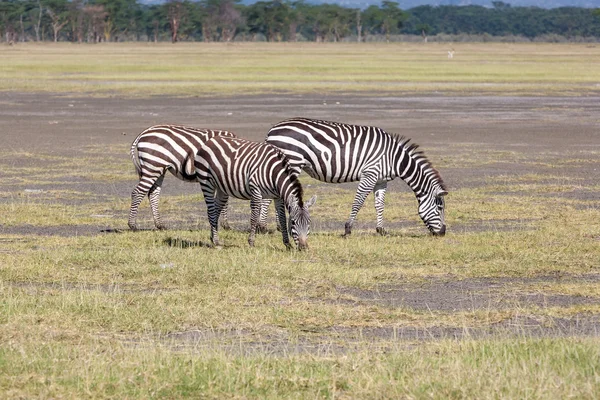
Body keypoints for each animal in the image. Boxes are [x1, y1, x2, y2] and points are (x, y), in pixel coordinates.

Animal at [262, 119, 446, 238]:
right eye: (440, 208)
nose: (443, 233)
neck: (394, 158)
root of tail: (272, 130)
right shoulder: (370, 174)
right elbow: (358, 202)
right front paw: (347, 229)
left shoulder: (381, 180)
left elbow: (379, 204)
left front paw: (381, 230)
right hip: (292, 161)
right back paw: (262, 227)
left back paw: (277, 226)